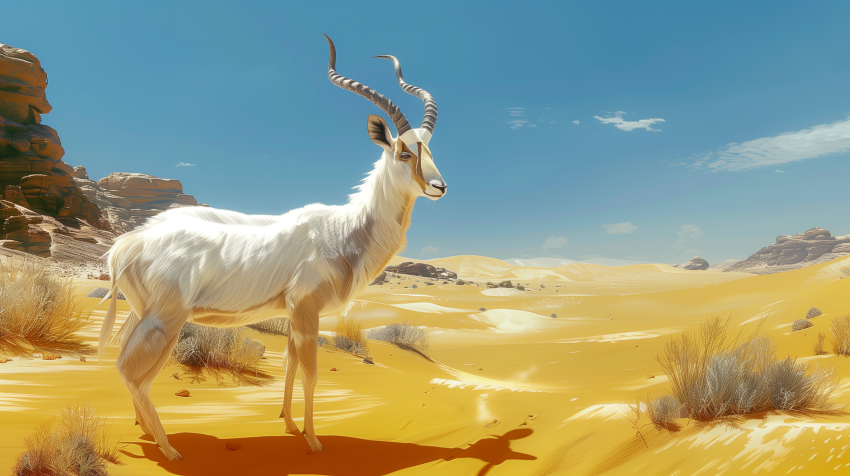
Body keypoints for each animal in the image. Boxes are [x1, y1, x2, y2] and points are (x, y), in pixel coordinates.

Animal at [98, 34, 446, 460]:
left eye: (430, 150)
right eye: (404, 152)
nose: (439, 186)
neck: (343, 230)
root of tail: (125, 245)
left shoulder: (293, 314)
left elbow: (290, 365)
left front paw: (290, 425)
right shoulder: (306, 310)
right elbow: (310, 373)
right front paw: (314, 442)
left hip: (141, 314)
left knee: (122, 361)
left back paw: (147, 433)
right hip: (166, 321)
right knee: (134, 373)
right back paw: (169, 450)